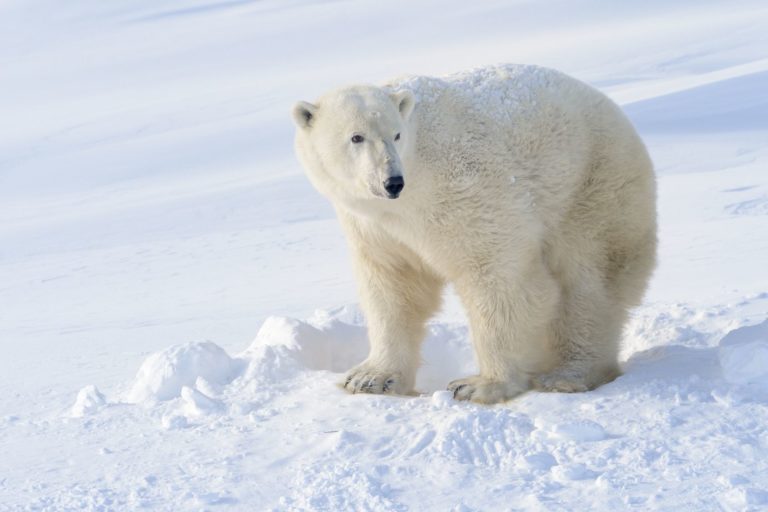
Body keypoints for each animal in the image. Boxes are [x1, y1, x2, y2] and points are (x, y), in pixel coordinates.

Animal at [292, 64, 656, 402]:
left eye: (396, 135)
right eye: (356, 137)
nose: (392, 181)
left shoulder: (464, 190)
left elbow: (498, 275)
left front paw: (480, 385)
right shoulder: (374, 227)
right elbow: (394, 286)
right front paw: (370, 378)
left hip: (593, 186)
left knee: (588, 281)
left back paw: (568, 374)